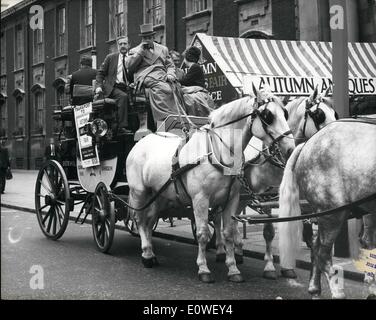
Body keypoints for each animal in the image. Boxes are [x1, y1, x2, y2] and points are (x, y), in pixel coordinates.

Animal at [126, 87, 294, 282]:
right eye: (267, 115)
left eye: (285, 113)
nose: (291, 148)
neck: (218, 152)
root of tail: (143, 140)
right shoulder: (200, 199)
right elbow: (203, 233)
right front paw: (203, 269)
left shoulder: (232, 199)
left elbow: (228, 232)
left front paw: (233, 268)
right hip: (139, 192)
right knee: (139, 219)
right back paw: (146, 254)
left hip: (159, 195)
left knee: (149, 220)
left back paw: (151, 252)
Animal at [213, 86, 340, 278]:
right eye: (319, 115)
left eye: (334, 114)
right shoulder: (264, 197)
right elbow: (268, 232)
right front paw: (270, 266)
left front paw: (288, 267)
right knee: (218, 217)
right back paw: (221, 250)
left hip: (241, 195)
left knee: (232, 219)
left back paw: (238, 250)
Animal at [280, 119, 376, 298]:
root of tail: (307, 143)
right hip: (332, 211)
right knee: (322, 254)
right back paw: (338, 292)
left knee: (317, 245)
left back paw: (315, 288)